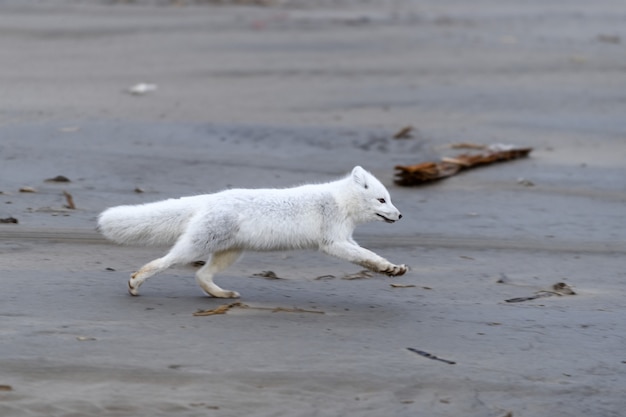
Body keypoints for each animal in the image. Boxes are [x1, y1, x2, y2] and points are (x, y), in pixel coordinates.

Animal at [97, 164, 408, 298]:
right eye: (382, 200)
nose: (401, 215)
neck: (340, 202)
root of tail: (210, 198)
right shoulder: (333, 242)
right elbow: (367, 256)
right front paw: (388, 268)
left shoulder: (345, 239)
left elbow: (368, 256)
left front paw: (392, 269)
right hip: (195, 247)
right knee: (162, 262)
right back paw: (135, 283)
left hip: (230, 253)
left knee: (201, 276)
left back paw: (221, 296)